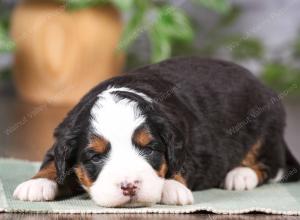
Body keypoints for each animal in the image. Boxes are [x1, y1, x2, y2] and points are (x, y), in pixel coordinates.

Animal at [12, 57, 300, 208]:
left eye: (149, 149)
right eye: (95, 157)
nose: (129, 186)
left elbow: (181, 165)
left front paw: (172, 187)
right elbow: (53, 161)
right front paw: (38, 182)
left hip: (266, 130)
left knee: (271, 166)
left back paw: (240, 175)